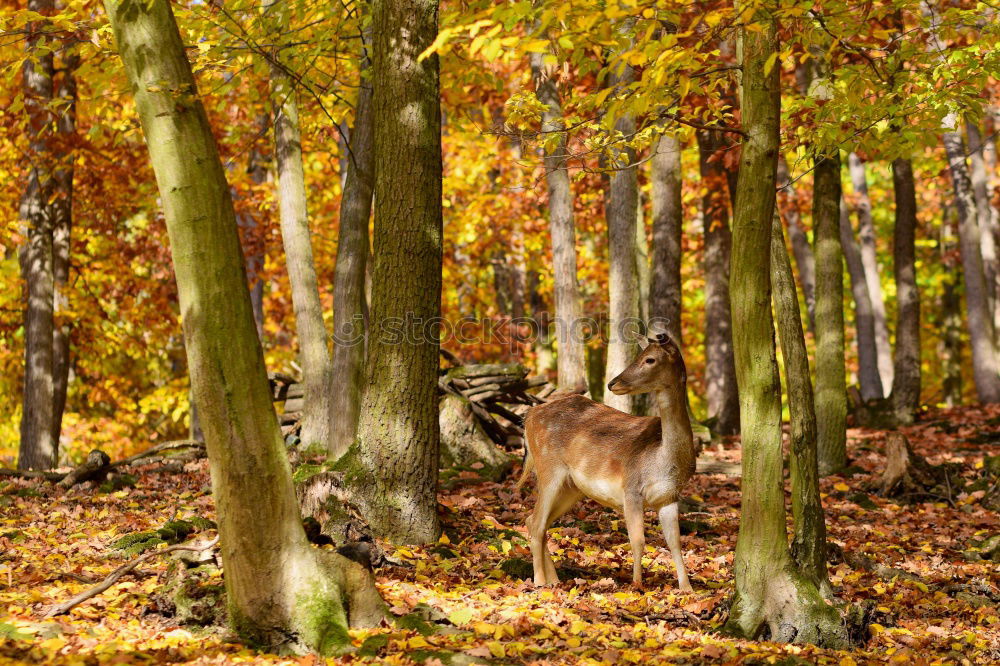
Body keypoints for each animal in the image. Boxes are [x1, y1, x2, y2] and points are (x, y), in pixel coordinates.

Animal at [516, 330, 696, 588]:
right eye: (639, 355)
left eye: (649, 359)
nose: (613, 383)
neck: (663, 458)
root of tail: (529, 415)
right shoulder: (631, 488)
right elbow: (638, 540)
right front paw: (637, 586)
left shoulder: (669, 497)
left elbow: (675, 543)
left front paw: (687, 588)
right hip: (548, 467)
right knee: (538, 522)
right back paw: (540, 582)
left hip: (571, 487)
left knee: (534, 520)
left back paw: (554, 580)